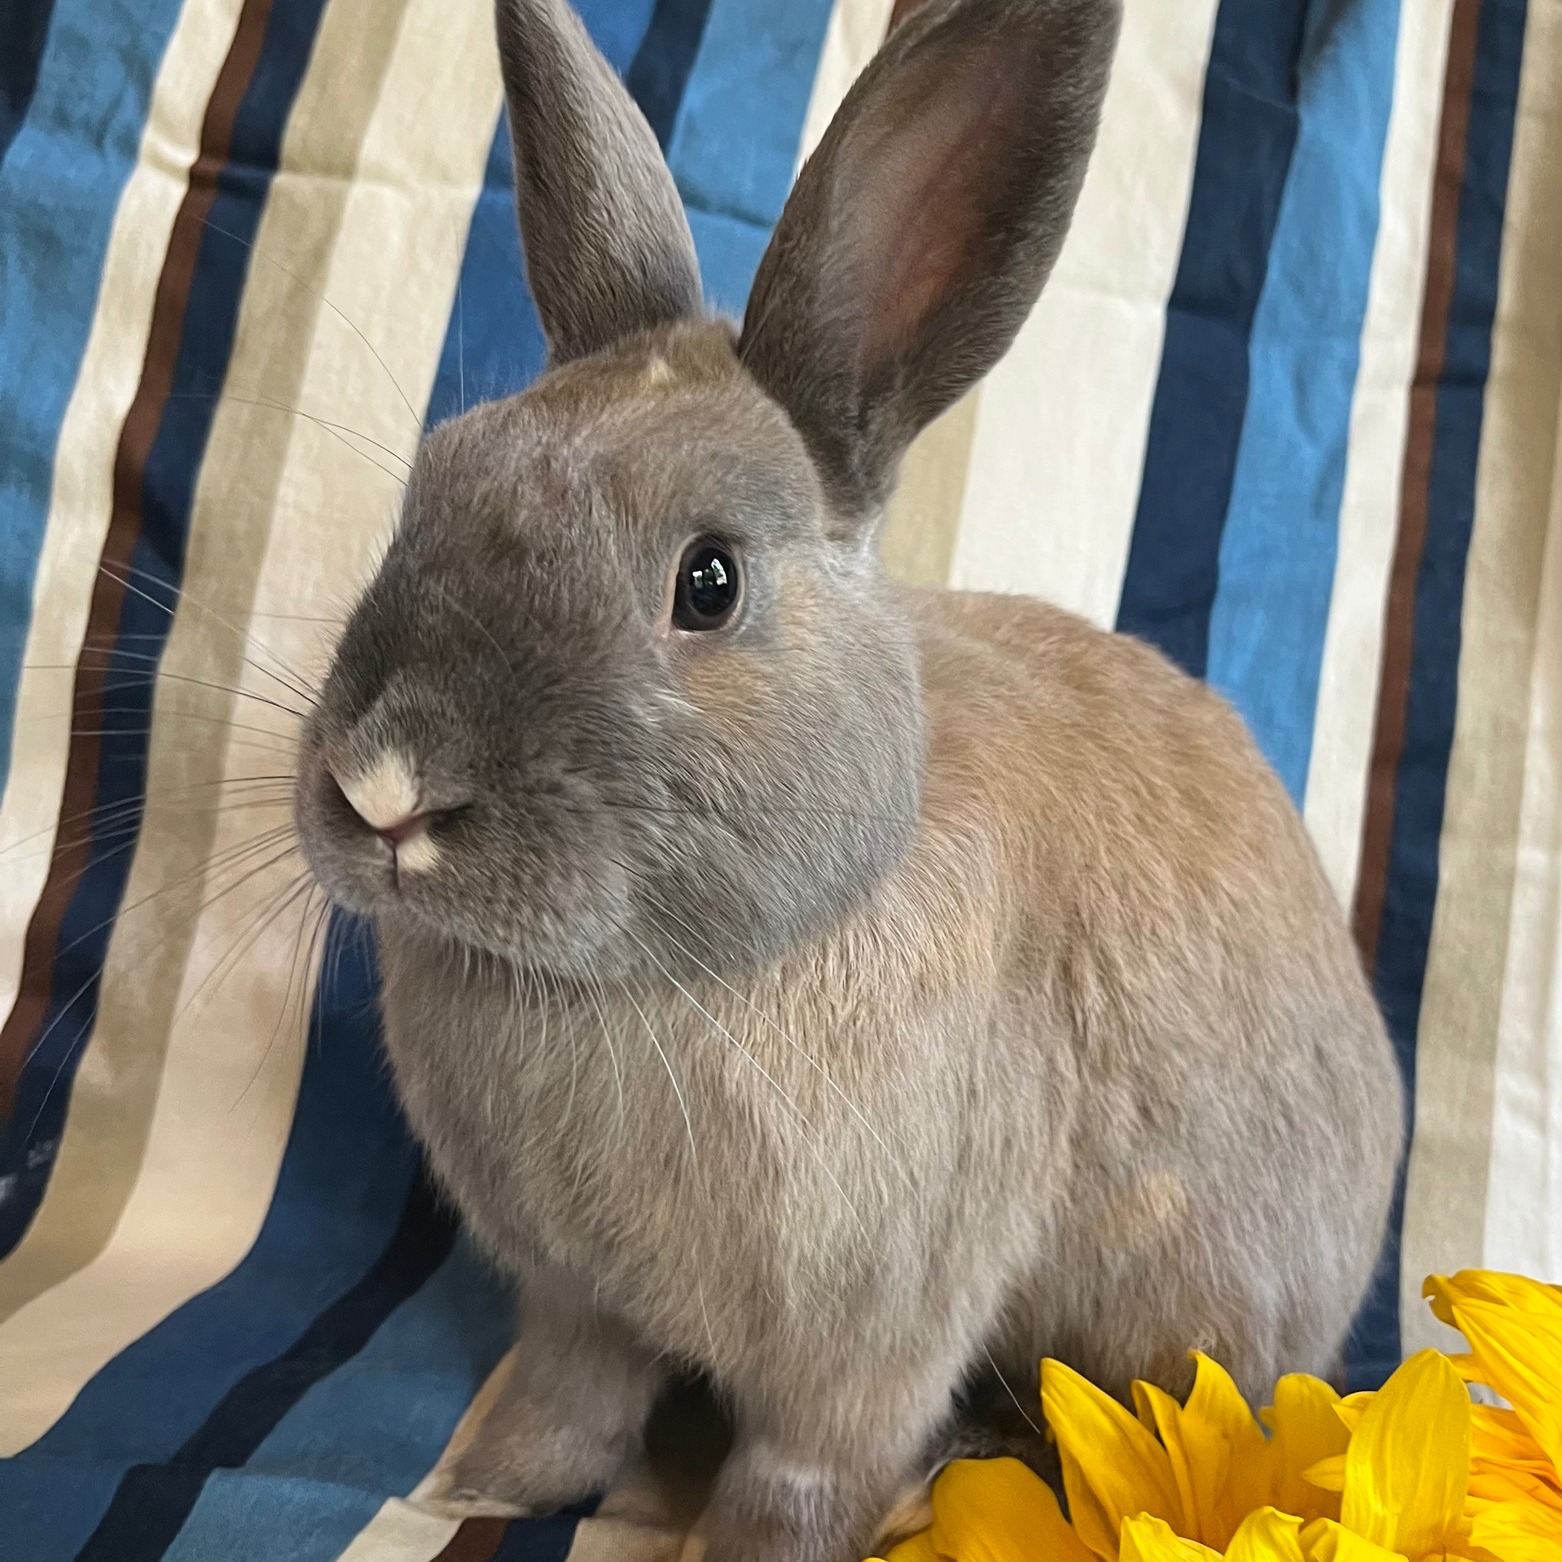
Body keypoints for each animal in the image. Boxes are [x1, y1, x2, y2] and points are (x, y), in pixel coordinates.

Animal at [291, 0, 1405, 1557]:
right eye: (439, 478)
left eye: (708, 582)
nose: (387, 786)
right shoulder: (575, 1301)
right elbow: (566, 1397)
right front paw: (475, 1484)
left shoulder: (869, 1334)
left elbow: (807, 1464)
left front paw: (746, 1544)